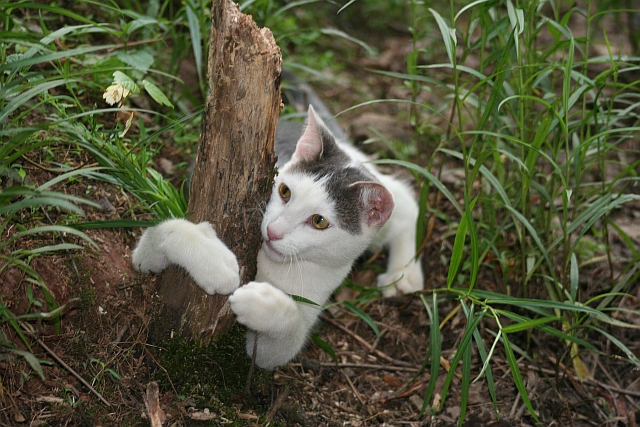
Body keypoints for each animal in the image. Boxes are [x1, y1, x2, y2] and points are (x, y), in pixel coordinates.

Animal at [132, 104, 422, 372]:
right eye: (284, 191)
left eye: (319, 221)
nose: (273, 231)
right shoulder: (146, 254)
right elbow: (162, 235)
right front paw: (214, 262)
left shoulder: (294, 321)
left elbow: (287, 334)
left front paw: (258, 302)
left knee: (407, 201)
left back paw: (404, 275)